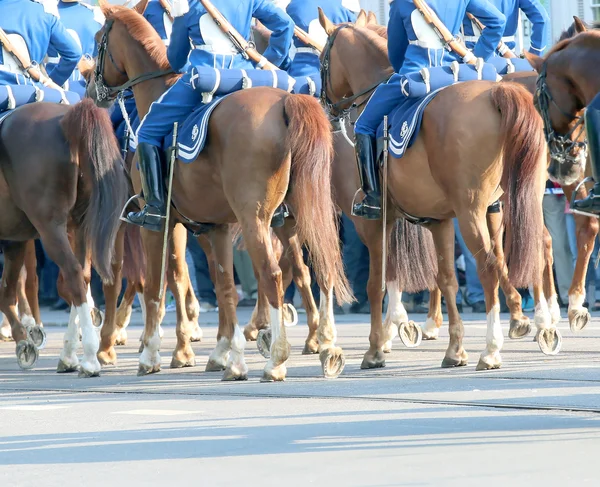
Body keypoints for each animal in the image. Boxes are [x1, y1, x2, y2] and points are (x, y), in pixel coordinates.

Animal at [0, 98, 126, 374]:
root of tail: (66, 119)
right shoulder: (14, 239)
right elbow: (8, 289)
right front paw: (24, 339)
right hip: (78, 225)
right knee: (83, 276)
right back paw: (69, 354)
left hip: (51, 228)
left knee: (73, 274)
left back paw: (89, 357)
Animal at [88, 2, 352, 382]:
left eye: (99, 39)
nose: (91, 90)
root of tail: (286, 102)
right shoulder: (216, 226)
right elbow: (223, 284)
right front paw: (226, 355)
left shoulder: (158, 223)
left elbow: (157, 283)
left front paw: (153, 353)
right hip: (301, 214)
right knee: (321, 267)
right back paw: (326, 347)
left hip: (255, 219)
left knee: (272, 275)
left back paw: (277, 358)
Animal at [322, 10, 556, 370]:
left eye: (322, 59)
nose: (328, 108)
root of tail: (496, 94)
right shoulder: (437, 220)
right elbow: (445, 277)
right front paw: (454, 348)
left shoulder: (372, 223)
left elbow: (377, 282)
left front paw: (375, 349)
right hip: (518, 201)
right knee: (536, 247)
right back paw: (540, 327)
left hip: (472, 211)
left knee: (489, 265)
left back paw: (492, 349)